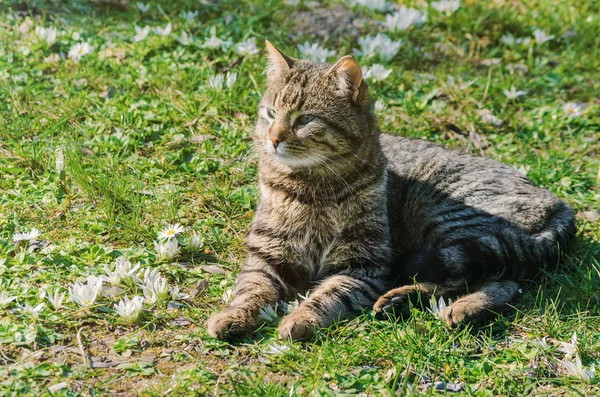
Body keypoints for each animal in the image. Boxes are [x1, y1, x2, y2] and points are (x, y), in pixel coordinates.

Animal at [207, 41, 576, 340]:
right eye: (270, 113)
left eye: (305, 120)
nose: (273, 138)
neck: (311, 185)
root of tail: (560, 204)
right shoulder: (267, 256)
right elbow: (250, 290)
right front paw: (231, 316)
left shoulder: (360, 267)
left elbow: (327, 296)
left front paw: (300, 318)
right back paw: (403, 299)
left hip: (445, 217)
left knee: (499, 280)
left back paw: (456, 307)